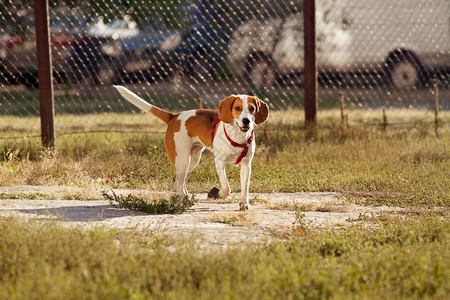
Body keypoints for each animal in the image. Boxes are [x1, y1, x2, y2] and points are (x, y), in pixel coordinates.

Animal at [114, 85, 268, 210]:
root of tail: (174, 116)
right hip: (182, 159)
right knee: (178, 182)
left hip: (192, 160)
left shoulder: (246, 165)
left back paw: (186, 196)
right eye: (237, 108)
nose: (246, 121)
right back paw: (184, 200)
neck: (237, 136)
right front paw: (219, 194)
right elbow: (226, 187)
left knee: (179, 181)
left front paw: (244, 204)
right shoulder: (219, 162)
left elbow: (245, 188)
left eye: (252, 109)